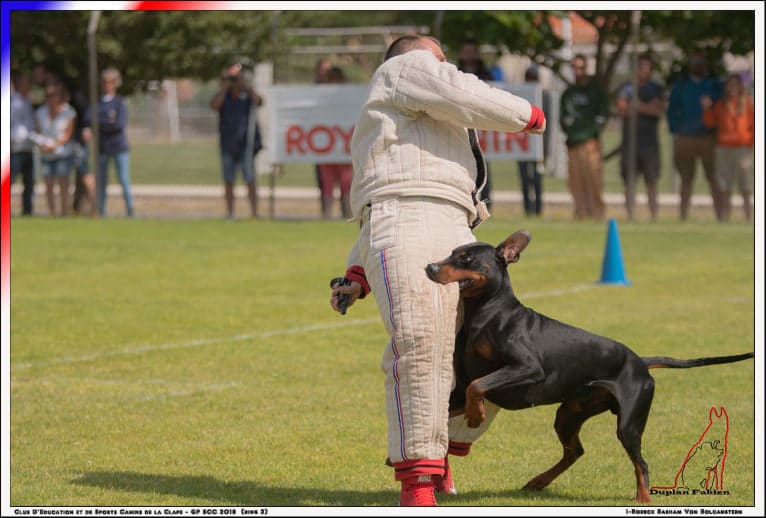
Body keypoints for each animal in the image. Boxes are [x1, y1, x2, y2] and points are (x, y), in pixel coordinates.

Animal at [426, 232, 756, 504]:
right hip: (569, 413)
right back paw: (538, 481)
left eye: (465, 259)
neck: (487, 314)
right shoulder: (460, 391)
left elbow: (478, 385)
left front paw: (476, 414)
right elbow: (462, 394)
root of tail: (640, 361)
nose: (430, 267)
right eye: (451, 252)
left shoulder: (528, 367)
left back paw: (642, 498)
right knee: (575, 451)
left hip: (628, 424)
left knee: (640, 463)